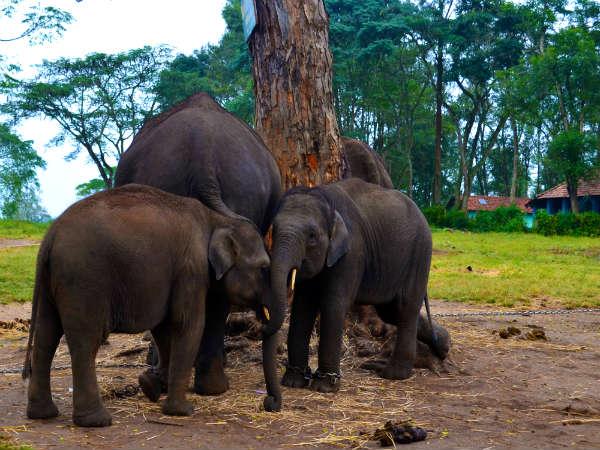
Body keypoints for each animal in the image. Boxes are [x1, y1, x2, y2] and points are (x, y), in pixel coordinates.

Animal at [23, 185, 282, 428]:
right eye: (263, 267)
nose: (268, 403)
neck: (216, 220)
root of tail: (50, 236)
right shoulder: (191, 269)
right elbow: (187, 325)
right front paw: (181, 411)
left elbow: (164, 328)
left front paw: (151, 386)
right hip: (83, 280)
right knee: (85, 342)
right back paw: (96, 421)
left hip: (51, 284)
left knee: (46, 337)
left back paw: (42, 414)